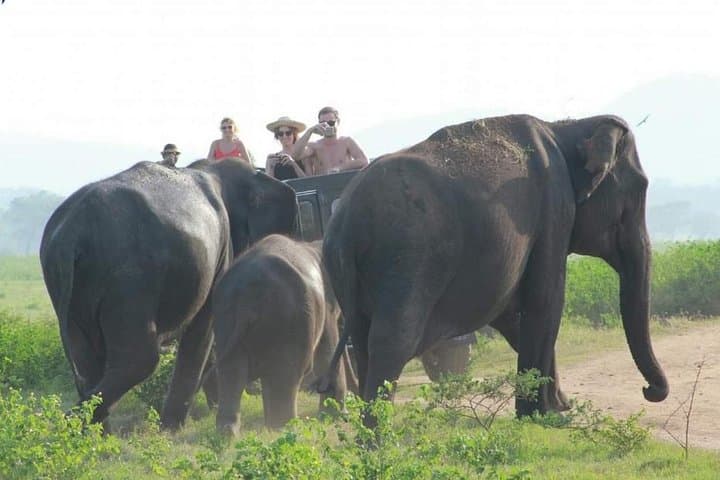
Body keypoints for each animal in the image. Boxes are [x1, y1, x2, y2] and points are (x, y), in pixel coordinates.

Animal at [40, 159, 297, 430]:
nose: (254, 390)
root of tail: (72, 234)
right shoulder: (220, 252)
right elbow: (205, 330)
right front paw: (172, 429)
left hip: (68, 287)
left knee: (85, 358)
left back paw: (90, 432)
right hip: (130, 279)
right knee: (140, 358)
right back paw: (70, 424)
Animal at [212, 234, 354, 434]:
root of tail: (247, 295)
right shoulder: (326, 306)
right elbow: (327, 350)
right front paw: (336, 417)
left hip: (227, 320)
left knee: (232, 373)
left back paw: (229, 433)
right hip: (288, 320)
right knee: (286, 375)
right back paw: (286, 428)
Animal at [321, 114, 668, 416]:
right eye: (640, 187)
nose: (649, 391)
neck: (566, 127)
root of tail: (346, 219)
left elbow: (510, 314)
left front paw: (558, 406)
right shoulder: (554, 208)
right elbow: (546, 299)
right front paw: (541, 416)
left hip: (344, 272)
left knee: (363, 341)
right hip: (407, 257)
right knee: (392, 341)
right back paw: (376, 440)